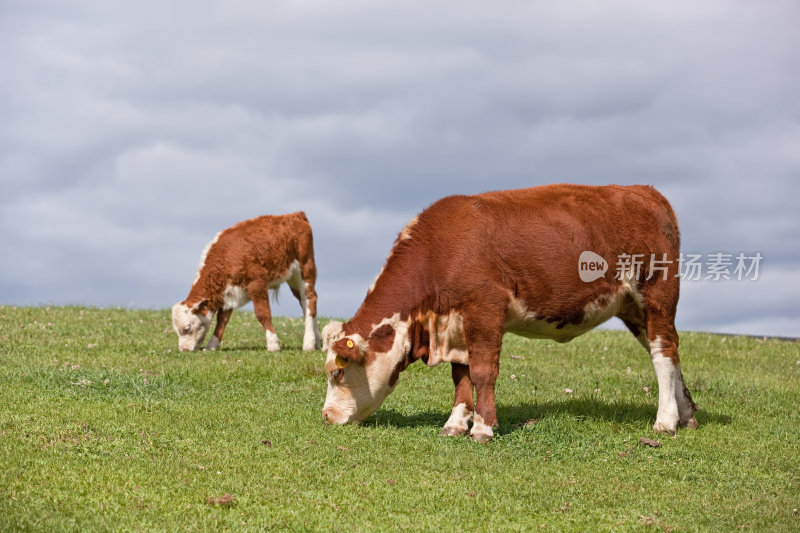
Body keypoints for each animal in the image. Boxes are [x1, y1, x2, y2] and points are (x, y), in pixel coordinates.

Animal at [170, 212, 320, 354]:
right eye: (176, 330)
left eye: (187, 327)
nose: (183, 349)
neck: (226, 256)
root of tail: (294, 215)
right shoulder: (229, 292)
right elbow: (222, 320)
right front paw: (212, 345)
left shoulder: (257, 284)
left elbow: (263, 314)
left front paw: (273, 344)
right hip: (293, 279)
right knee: (305, 304)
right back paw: (317, 341)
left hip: (305, 268)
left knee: (310, 299)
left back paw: (308, 343)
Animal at [322, 183, 696, 440]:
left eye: (338, 372)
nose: (326, 416)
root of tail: (646, 192)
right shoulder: (457, 323)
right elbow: (461, 376)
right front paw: (455, 424)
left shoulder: (485, 309)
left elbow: (483, 372)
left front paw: (483, 428)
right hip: (633, 308)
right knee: (670, 351)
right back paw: (687, 414)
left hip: (657, 293)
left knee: (663, 353)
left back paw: (665, 421)